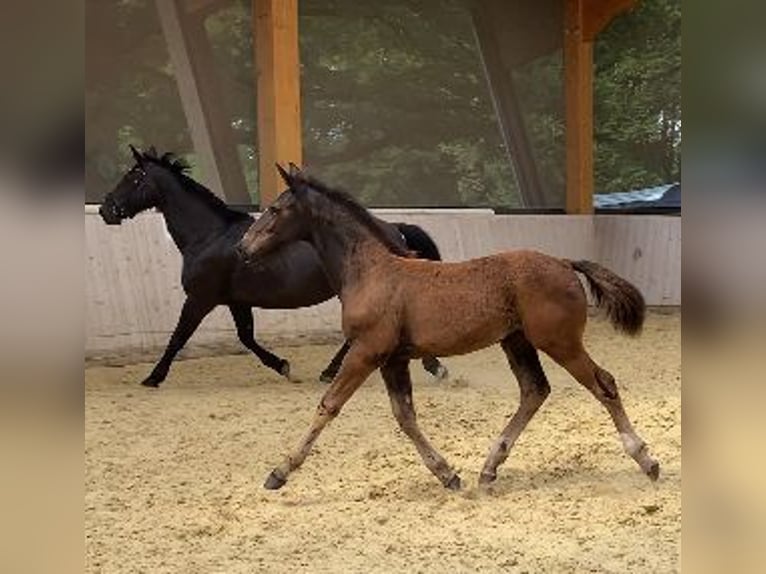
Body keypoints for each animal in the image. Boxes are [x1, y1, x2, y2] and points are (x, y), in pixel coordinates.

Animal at [98, 146, 448, 390]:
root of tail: (394, 228)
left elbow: (178, 337)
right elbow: (246, 338)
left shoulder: (200, 299)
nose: (105, 210)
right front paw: (283, 366)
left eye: (133, 177)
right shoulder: (235, 301)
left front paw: (153, 377)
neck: (209, 236)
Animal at [240, 165, 660, 490]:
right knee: (534, 391)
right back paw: (489, 468)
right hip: (517, 341)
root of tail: (564, 262)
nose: (243, 248)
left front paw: (279, 472)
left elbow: (328, 406)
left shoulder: (366, 351)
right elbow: (405, 416)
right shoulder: (393, 359)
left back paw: (646, 459)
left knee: (603, 384)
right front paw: (447, 474)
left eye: (275, 208)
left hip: (559, 342)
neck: (370, 270)